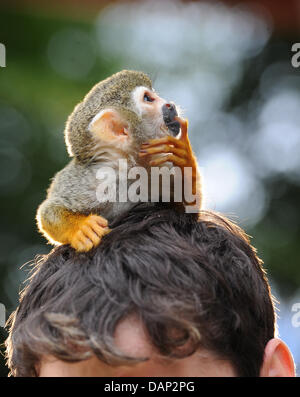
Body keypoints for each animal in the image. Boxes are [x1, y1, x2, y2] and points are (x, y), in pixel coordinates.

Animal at [37, 69, 202, 251]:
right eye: (148, 98)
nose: (170, 105)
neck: (128, 167)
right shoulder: (91, 180)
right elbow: (48, 212)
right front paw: (81, 228)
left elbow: (188, 209)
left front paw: (184, 159)